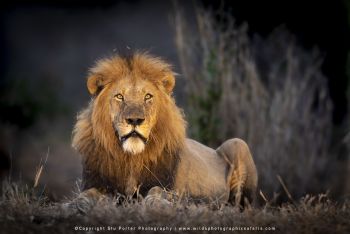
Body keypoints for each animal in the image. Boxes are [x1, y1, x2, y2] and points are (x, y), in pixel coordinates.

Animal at [72, 52, 258, 207]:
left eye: (148, 96)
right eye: (119, 96)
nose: (135, 120)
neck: (131, 158)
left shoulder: (167, 186)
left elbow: (157, 191)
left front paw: (157, 203)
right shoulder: (100, 184)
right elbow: (87, 193)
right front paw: (75, 204)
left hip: (237, 144)